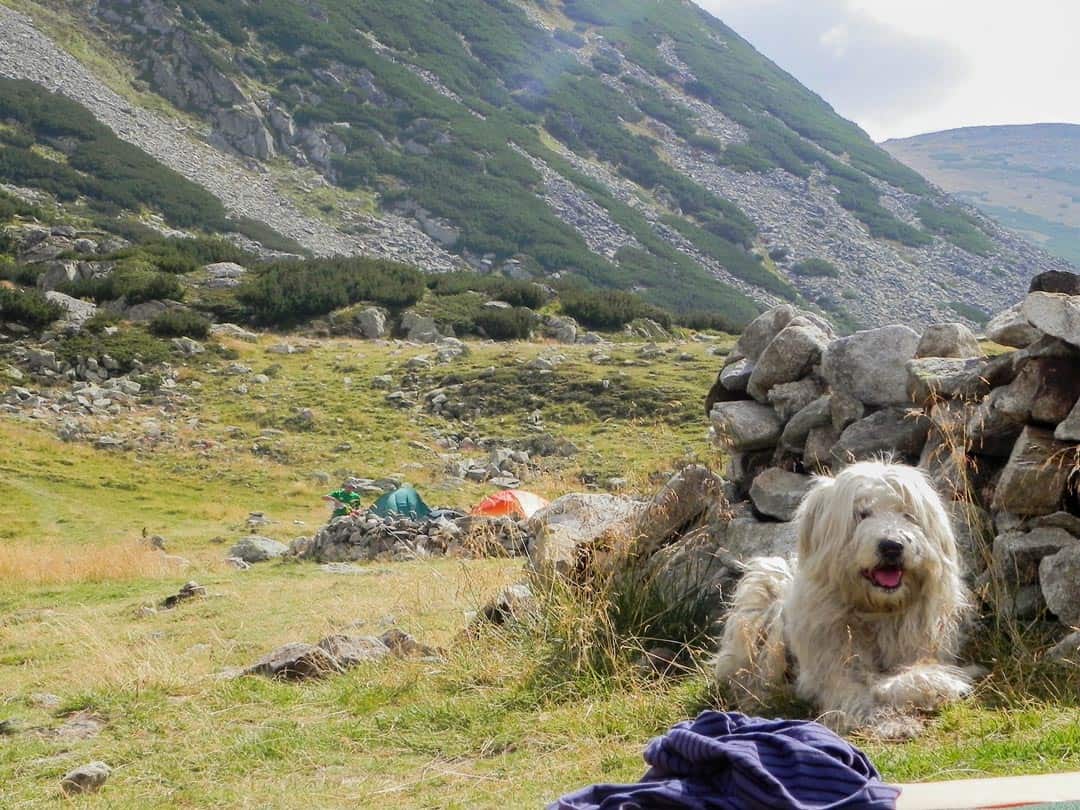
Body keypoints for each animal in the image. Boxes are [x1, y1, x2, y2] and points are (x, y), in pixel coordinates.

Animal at [712, 460, 976, 738]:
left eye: (907, 514)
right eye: (861, 513)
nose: (892, 546)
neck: (876, 613)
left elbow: (916, 674)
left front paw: (931, 685)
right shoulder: (834, 671)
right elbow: (858, 694)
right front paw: (893, 721)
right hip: (759, 602)